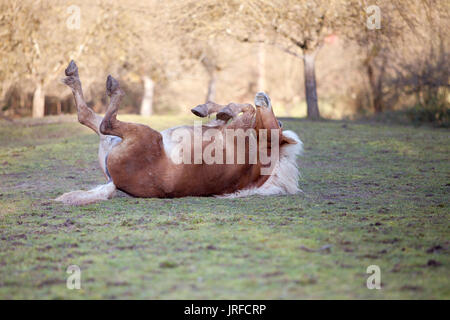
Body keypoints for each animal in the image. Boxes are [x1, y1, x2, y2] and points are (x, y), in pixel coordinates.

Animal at [55, 60, 302, 205]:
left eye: (278, 126)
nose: (264, 96)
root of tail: (115, 182)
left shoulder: (237, 128)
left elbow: (246, 108)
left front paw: (222, 110)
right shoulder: (227, 128)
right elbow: (231, 111)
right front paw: (208, 109)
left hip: (142, 133)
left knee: (102, 122)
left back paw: (110, 87)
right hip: (113, 139)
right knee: (88, 116)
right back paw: (73, 75)